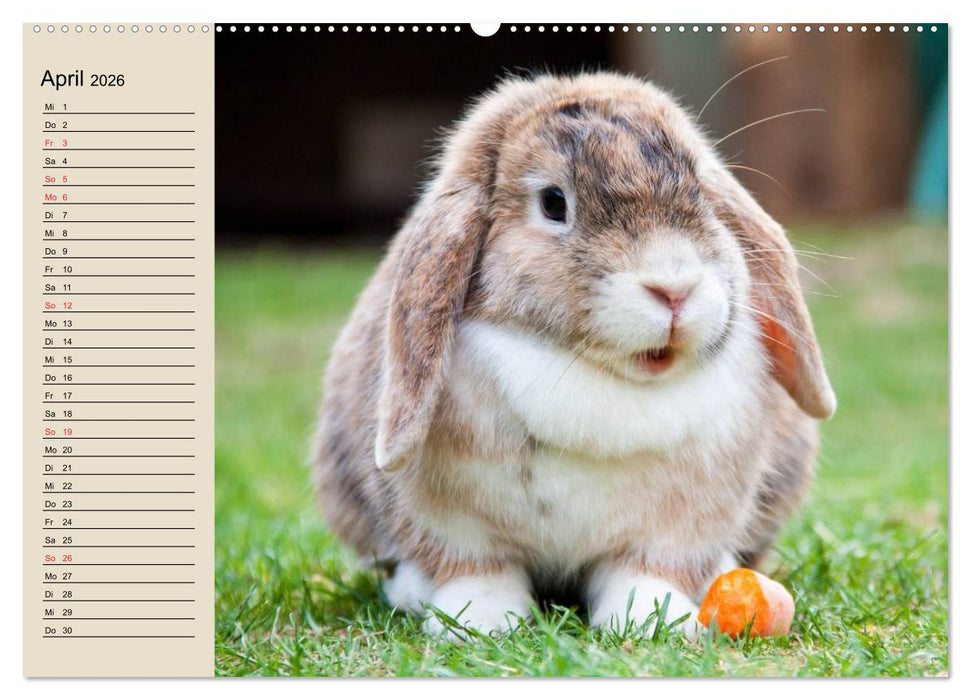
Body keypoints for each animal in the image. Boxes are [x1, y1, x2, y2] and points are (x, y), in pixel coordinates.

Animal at [312, 72, 835, 638]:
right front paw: (479, 622)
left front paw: (653, 622)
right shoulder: (454, 524)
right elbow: (478, 570)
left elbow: (645, 572)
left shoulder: (676, 527)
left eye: (700, 189)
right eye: (553, 203)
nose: (674, 289)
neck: (596, 375)